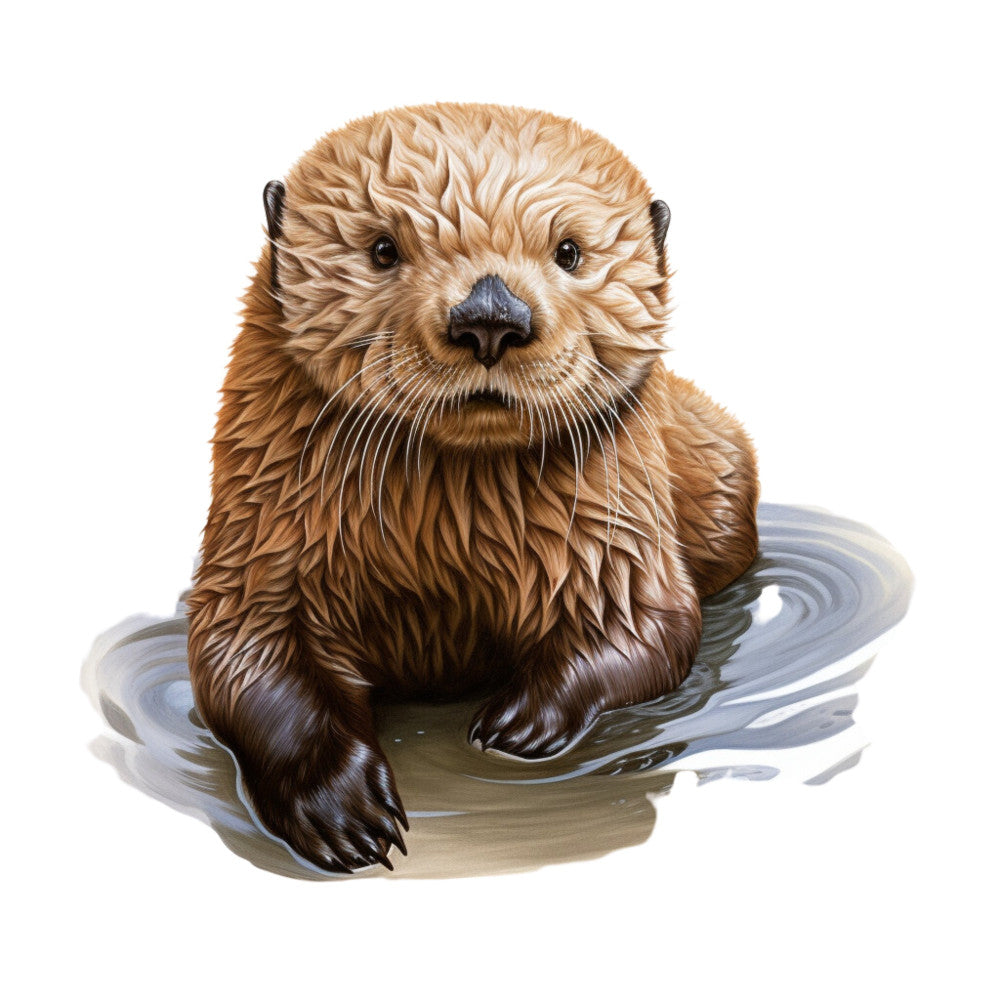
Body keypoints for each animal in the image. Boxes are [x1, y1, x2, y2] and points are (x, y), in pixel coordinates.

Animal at [187, 103, 759, 873]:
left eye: (570, 252)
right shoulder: (266, 531)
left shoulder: (615, 531)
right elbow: (243, 651)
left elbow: (646, 627)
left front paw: (518, 723)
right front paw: (343, 809)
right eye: (382, 250)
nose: (491, 316)